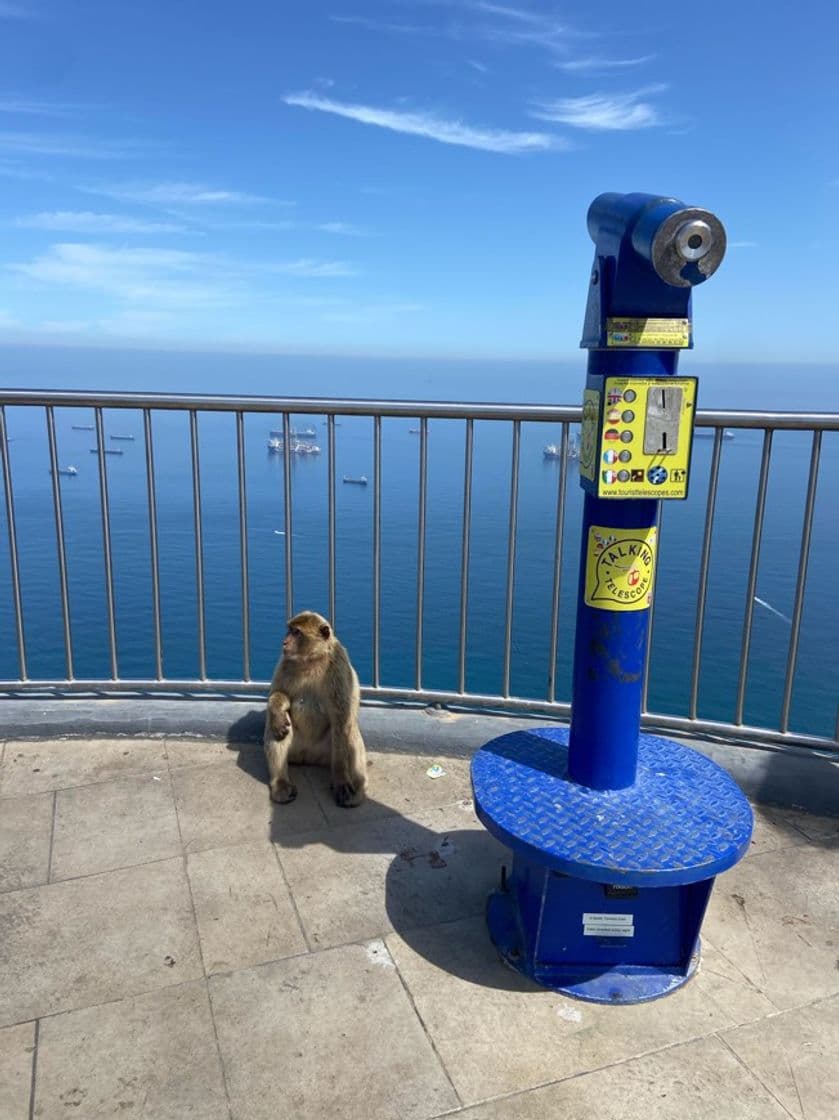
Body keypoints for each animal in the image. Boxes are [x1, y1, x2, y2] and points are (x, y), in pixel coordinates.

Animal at [262, 613, 367, 806]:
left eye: (296, 632)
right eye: (289, 630)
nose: (284, 642)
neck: (311, 659)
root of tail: (309, 756)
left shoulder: (338, 667)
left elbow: (341, 717)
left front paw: (341, 779)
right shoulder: (285, 663)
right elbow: (278, 694)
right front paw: (277, 711)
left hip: (327, 751)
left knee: (348, 730)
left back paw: (356, 788)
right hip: (296, 749)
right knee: (275, 728)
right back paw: (280, 784)